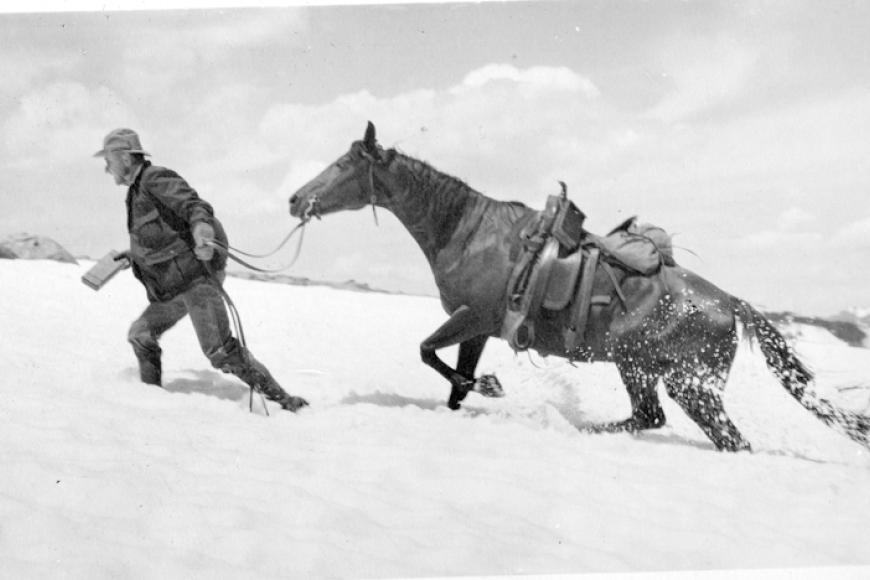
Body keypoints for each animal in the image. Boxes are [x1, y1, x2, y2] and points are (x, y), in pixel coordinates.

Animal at [289, 121, 870, 452]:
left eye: (344, 163)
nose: (295, 199)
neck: (469, 230)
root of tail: (731, 303)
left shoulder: (473, 317)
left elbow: (429, 353)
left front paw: (493, 387)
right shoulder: (477, 329)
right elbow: (454, 383)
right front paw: (477, 390)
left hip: (682, 382)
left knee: (720, 439)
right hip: (646, 370)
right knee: (652, 418)